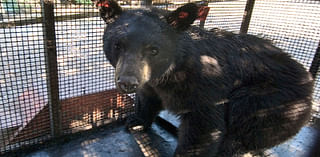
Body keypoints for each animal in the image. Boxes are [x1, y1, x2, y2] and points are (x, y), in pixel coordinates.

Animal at [94, 0, 312, 156]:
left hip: (277, 98)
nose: (127, 82)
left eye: (154, 50)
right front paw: (136, 121)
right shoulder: (151, 82)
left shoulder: (206, 84)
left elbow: (205, 124)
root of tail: (309, 83)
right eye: (118, 45)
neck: (170, 72)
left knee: (248, 114)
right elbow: (148, 98)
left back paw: (229, 147)